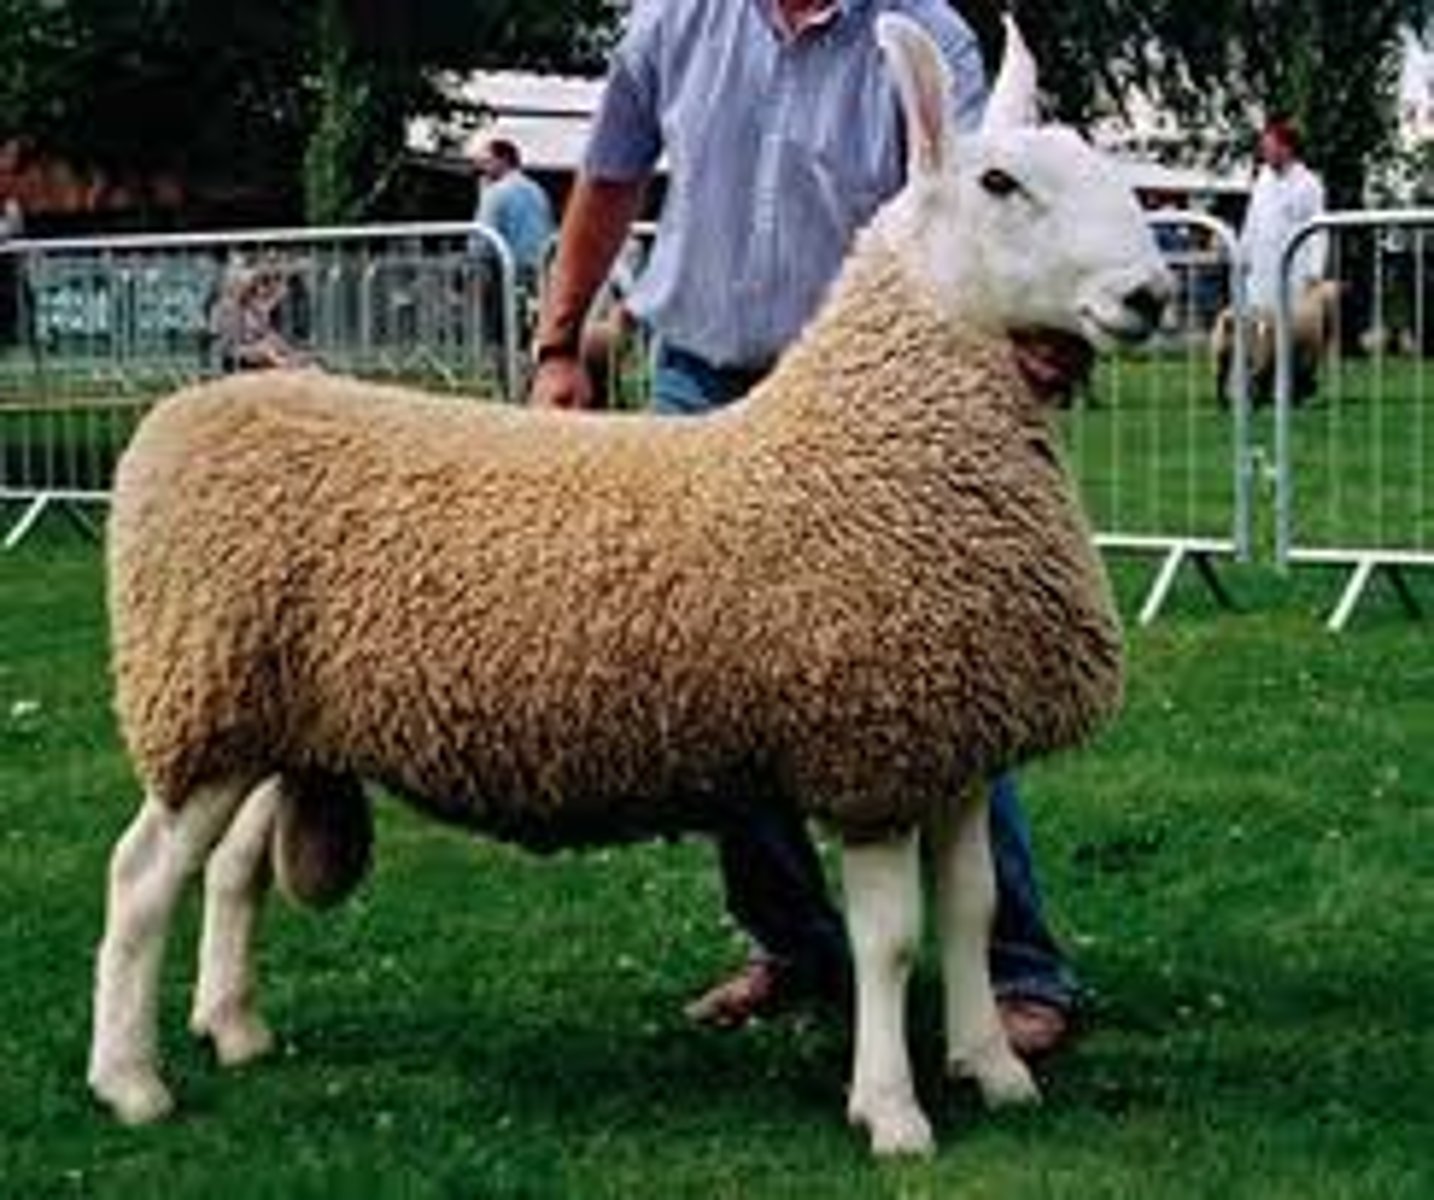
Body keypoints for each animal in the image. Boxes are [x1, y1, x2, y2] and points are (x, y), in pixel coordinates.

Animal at [88, 15, 1172, 1156]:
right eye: (999, 182)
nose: (1151, 296)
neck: (869, 436)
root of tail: (183, 416)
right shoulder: (868, 751)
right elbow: (892, 941)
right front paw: (892, 1111)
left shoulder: (955, 745)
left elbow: (971, 911)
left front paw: (995, 1068)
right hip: (202, 701)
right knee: (141, 879)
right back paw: (131, 1080)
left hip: (274, 713)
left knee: (231, 870)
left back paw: (233, 1026)